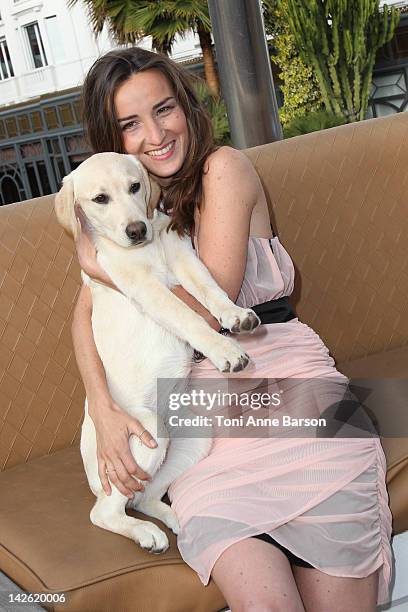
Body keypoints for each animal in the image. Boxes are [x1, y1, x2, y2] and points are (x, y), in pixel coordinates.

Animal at [55, 154, 258, 556]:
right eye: (100, 199)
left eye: (135, 187)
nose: (137, 230)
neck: (145, 250)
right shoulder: (145, 288)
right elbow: (190, 318)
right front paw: (225, 350)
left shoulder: (184, 258)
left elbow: (211, 290)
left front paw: (234, 316)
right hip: (147, 430)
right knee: (103, 513)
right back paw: (147, 534)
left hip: (192, 438)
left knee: (144, 496)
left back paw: (173, 520)